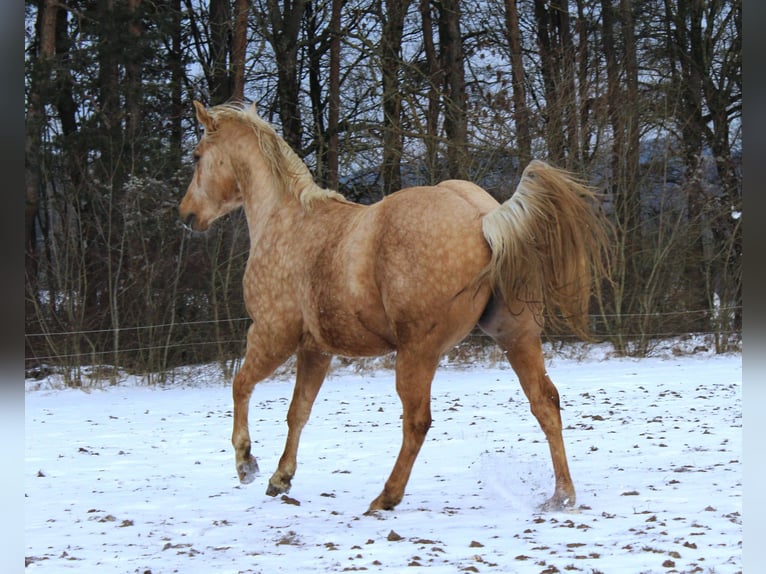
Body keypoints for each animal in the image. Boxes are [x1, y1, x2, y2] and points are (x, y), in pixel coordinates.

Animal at [179, 100, 610, 513]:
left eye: (197, 155)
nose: (186, 215)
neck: (285, 220)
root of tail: (485, 218)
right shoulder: (315, 349)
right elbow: (297, 411)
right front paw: (280, 478)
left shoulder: (272, 334)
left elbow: (241, 385)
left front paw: (246, 464)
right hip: (515, 336)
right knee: (545, 402)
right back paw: (561, 496)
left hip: (417, 352)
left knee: (417, 422)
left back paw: (385, 498)